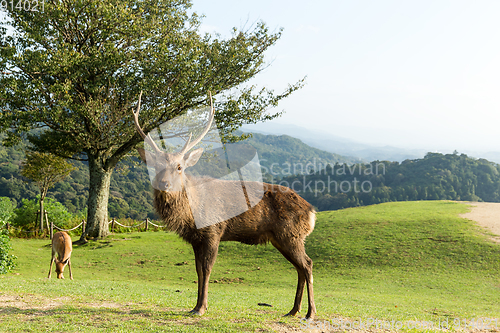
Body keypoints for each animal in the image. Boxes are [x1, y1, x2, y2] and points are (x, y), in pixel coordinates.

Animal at [134, 92, 316, 318]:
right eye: (156, 165)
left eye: (179, 167)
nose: (164, 184)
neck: (191, 214)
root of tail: (311, 211)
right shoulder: (196, 239)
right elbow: (197, 270)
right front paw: (194, 306)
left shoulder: (214, 231)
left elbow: (207, 269)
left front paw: (201, 308)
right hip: (282, 238)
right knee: (300, 268)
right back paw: (293, 310)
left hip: (291, 234)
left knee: (307, 264)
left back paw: (310, 313)